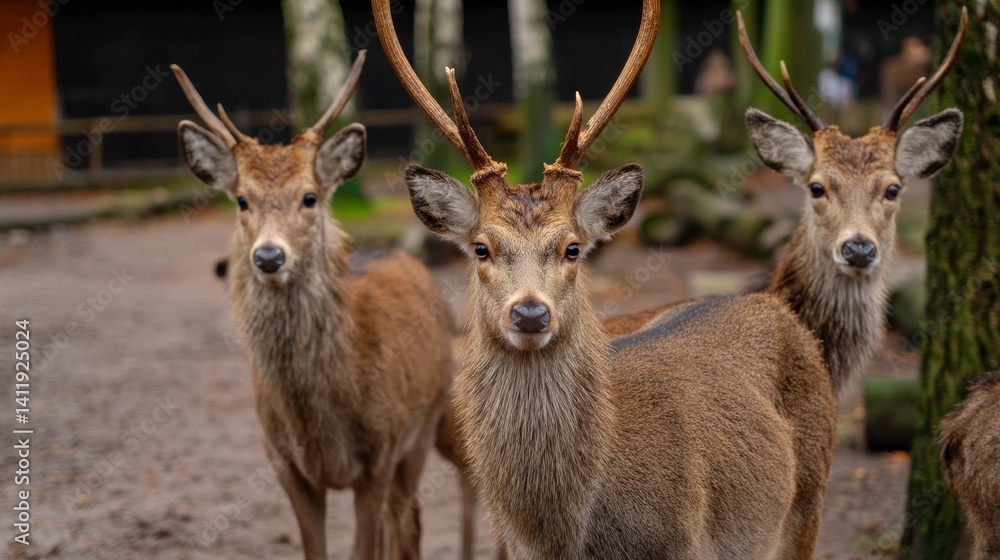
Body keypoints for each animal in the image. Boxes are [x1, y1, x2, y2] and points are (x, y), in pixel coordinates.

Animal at [171, 51, 455, 560]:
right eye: (241, 200)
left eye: (309, 197)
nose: (269, 256)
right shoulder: (284, 465)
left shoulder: (379, 455)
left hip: (423, 427)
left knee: (409, 523)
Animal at [375, 0, 838, 557]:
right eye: (482, 248)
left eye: (572, 247)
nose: (530, 312)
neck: (566, 535)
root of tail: (778, 308)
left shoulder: (681, 541)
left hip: (809, 493)